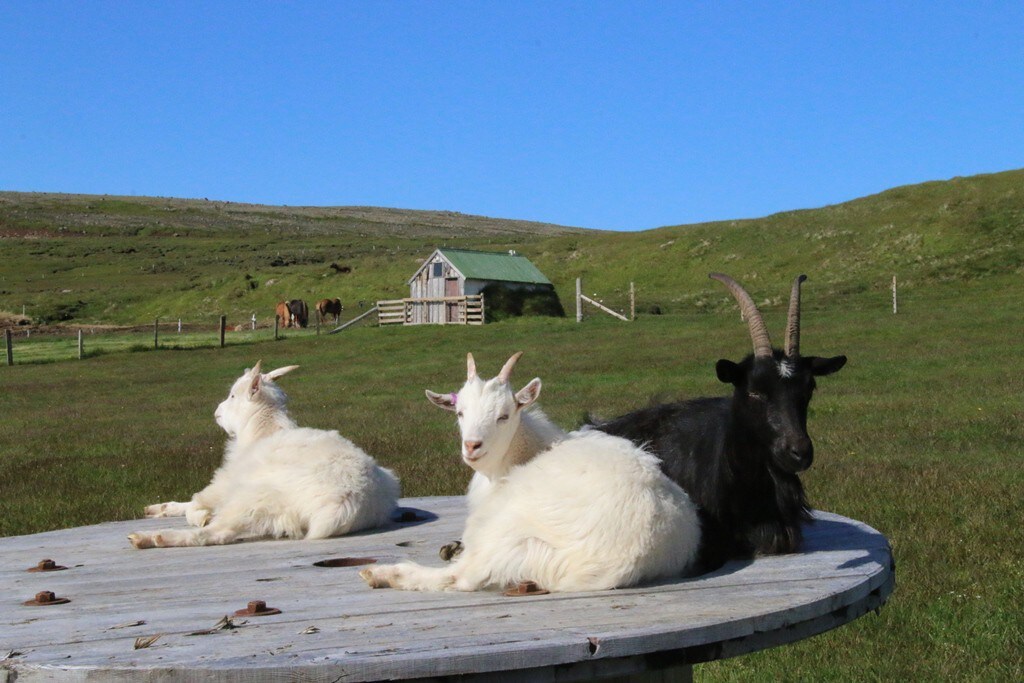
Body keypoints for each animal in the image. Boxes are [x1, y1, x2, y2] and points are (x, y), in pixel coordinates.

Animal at [129, 362, 399, 548]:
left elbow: (196, 505)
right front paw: (159, 508)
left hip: (255, 499)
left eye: (233, 395)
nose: (216, 413)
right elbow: (188, 503)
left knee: (215, 534)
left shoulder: (226, 482)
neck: (262, 432)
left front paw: (198, 516)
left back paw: (152, 538)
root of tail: (349, 502)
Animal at [362, 352, 704, 593]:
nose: (472, 446)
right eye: (459, 413)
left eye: (504, 415)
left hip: (507, 526)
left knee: (461, 577)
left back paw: (383, 574)